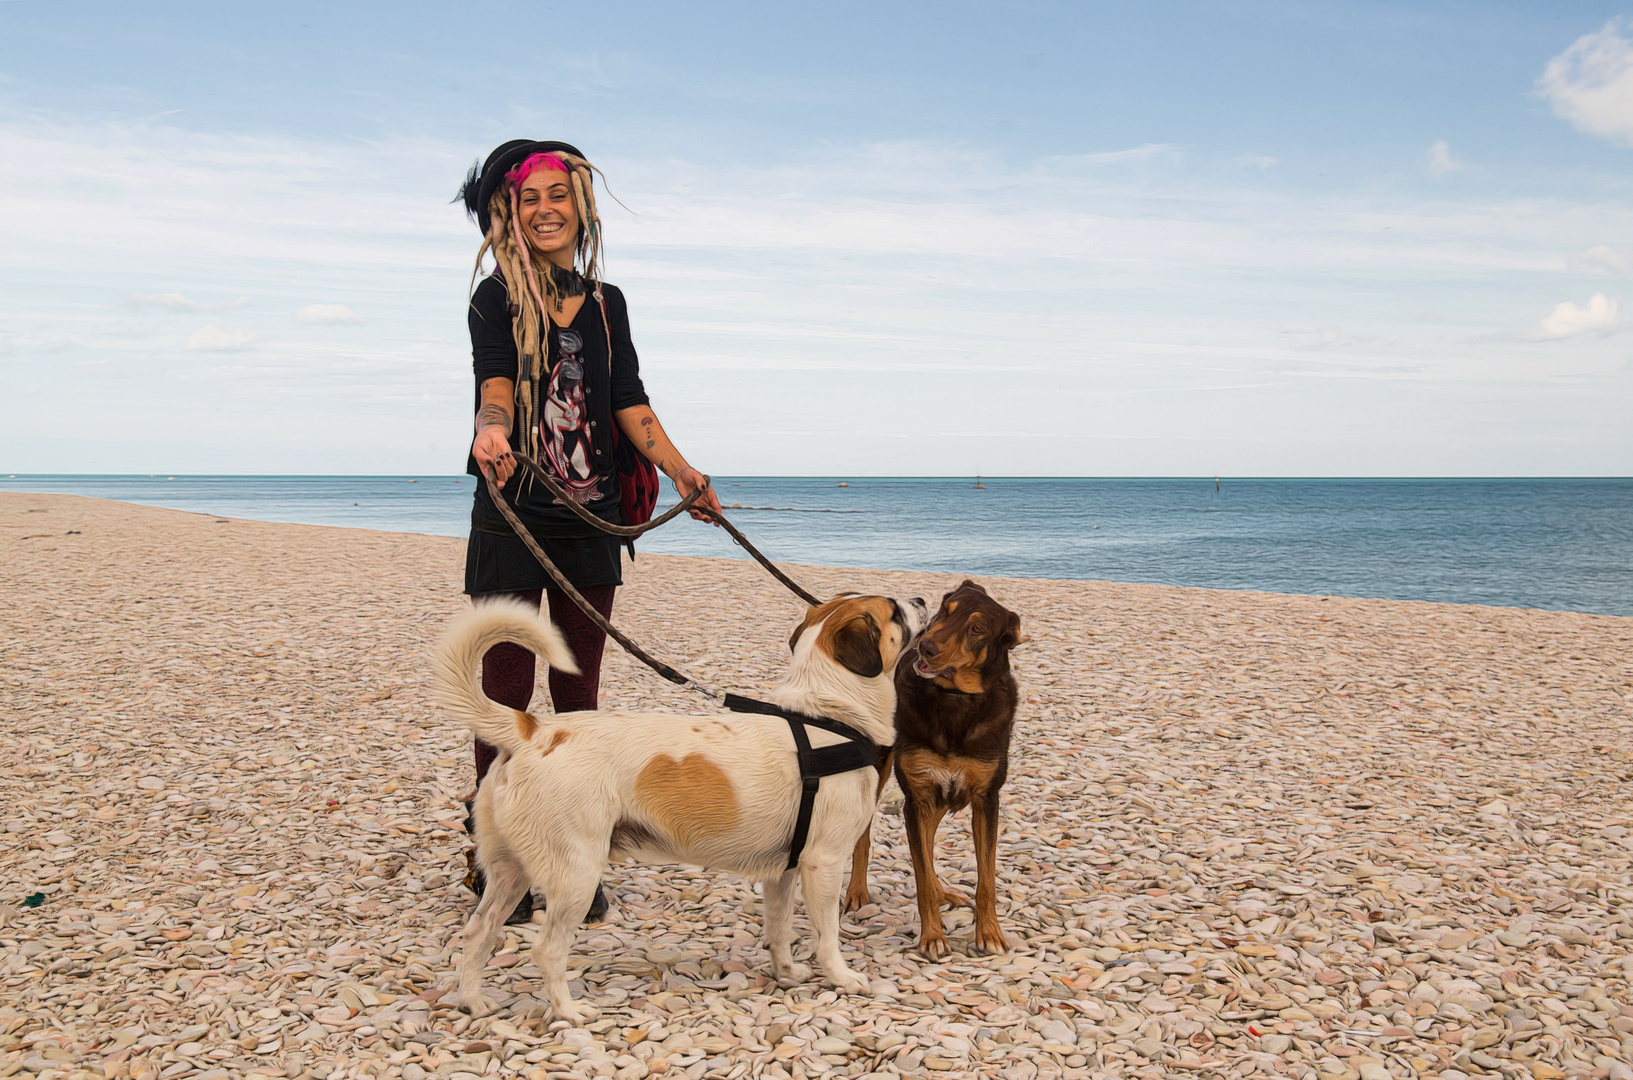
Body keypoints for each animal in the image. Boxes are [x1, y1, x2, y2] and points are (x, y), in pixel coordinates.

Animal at [427, 588, 927, 1019]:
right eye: (893, 611)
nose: (922, 598)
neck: (827, 717)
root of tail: (533, 731)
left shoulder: (783, 871)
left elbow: (780, 930)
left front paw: (786, 973)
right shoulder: (823, 863)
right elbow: (827, 935)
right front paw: (841, 978)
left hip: (510, 872)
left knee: (478, 931)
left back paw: (473, 1001)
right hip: (575, 876)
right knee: (547, 950)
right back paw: (569, 1012)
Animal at [842, 581, 1018, 960]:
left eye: (976, 629)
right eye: (944, 612)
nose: (925, 645)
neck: (954, 700)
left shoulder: (985, 799)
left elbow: (986, 876)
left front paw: (989, 933)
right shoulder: (917, 797)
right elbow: (920, 873)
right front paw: (932, 937)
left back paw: (943, 892)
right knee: (866, 835)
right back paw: (857, 892)